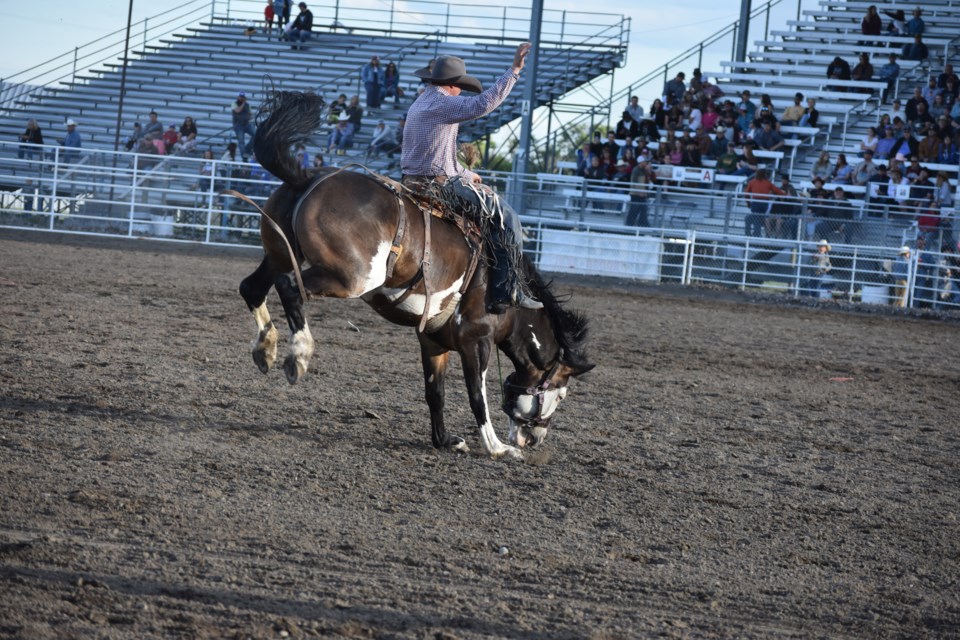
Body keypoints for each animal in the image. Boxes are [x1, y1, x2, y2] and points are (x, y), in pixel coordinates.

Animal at [236, 91, 592, 460]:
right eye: (561, 393)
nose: (535, 439)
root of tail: (306, 177)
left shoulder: (433, 340)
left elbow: (435, 392)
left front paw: (446, 440)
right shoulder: (476, 340)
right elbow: (477, 397)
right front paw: (498, 448)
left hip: (279, 253)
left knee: (253, 287)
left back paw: (266, 349)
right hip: (351, 278)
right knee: (291, 286)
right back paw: (299, 354)